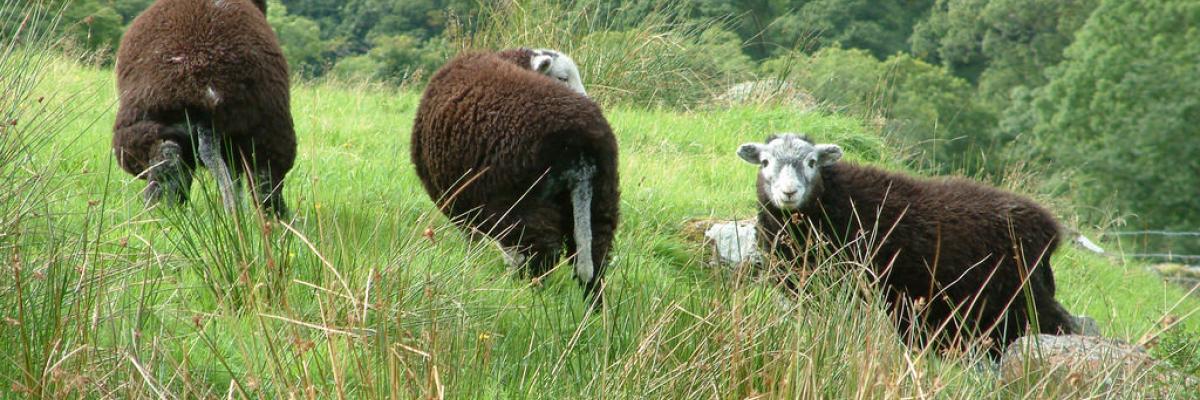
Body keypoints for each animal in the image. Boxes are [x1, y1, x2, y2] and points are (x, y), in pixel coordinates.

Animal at [111, 0, 294, 215]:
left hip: (139, 130)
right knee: (264, 184)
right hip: (263, 135)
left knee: (169, 159)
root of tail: (205, 86)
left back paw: (157, 212)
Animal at [410, 49, 619, 305]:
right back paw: (593, 309)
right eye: (562, 78)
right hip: (601, 201)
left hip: (524, 206)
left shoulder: (464, 203)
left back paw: (528, 300)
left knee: (539, 258)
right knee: (595, 259)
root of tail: (581, 147)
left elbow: (475, 241)